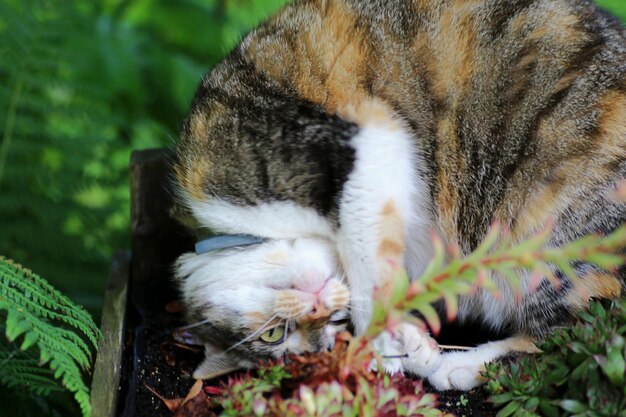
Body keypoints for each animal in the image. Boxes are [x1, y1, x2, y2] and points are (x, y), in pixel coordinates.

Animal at [171, 0, 624, 390]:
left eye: (273, 335)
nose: (320, 308)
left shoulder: (362, 141)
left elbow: (364, 260)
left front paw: (382, 345)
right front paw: (410, 346)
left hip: (550, 237)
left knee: (582, 333)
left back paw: (461, 366)